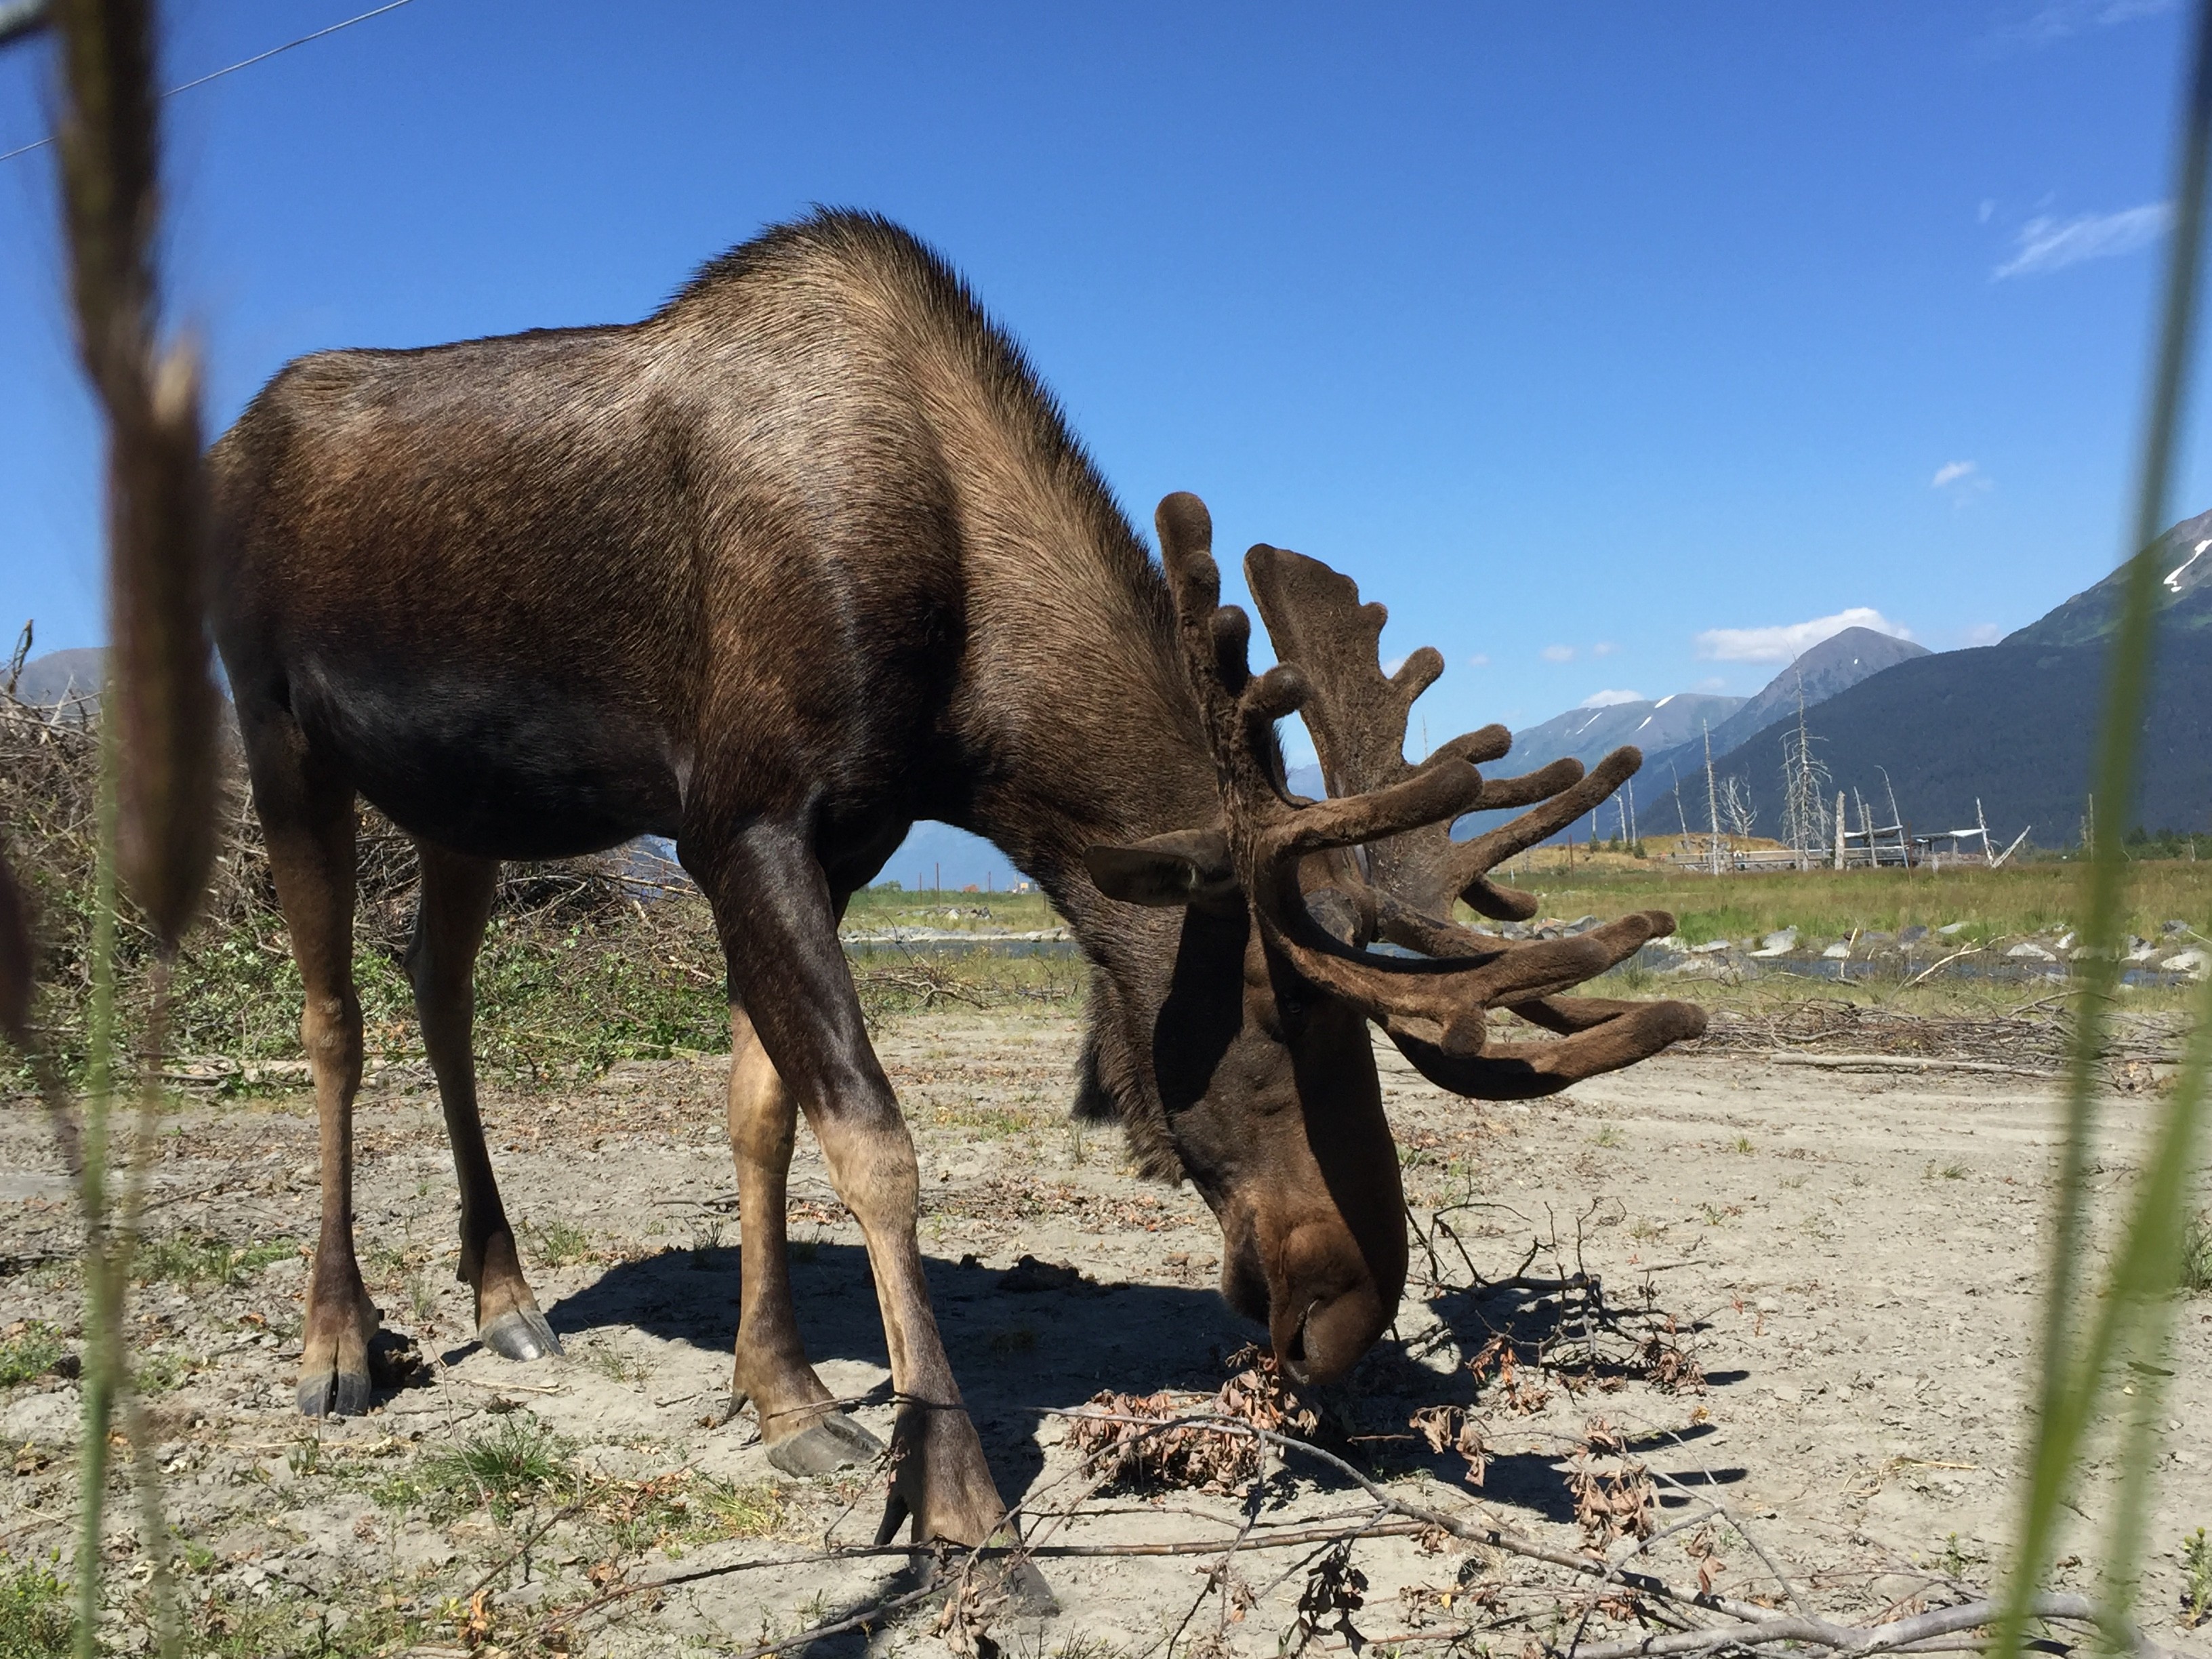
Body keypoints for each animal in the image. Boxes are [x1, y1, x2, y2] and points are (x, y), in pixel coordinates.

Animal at [208, 209, 1703, 1571]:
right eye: (1281, 1014)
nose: (1344, 1310)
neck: (967, 708)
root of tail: (226, 440)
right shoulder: (740, 819)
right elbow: (873, 1142)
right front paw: (953, 1485)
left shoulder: (846, 835)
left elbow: (763, 1111)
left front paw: (786, 1393)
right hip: (279, 727)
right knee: (333, 1018)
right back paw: (337, 1341)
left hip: (462, 796)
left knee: (440, 987)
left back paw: (505, 1293)